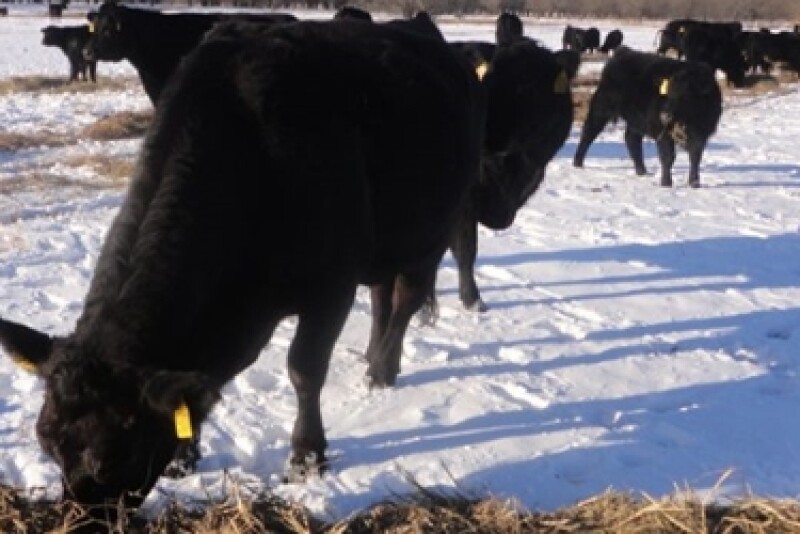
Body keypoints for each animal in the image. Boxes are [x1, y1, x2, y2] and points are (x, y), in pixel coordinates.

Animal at [0, 17, 483, 520]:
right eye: (47, 443)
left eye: (113, 457)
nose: (78, 523)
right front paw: (185, 456)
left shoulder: (330, 288)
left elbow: (304, 370)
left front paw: (306, 458)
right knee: (381, 294)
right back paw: (372, 357)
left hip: (433, 226)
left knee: (407, 298)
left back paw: (383, 370)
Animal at [573, 47, 722, 188]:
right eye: (668, 93)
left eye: (686, 95)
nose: (664, 115)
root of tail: (623, 52)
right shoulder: (663, 133)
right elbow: (668, 157)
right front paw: (666, 183)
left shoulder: (701, 134)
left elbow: (695, 157)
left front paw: (694, 183)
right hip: (601, 107)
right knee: (588, 132)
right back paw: (577, 163)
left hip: (635, 120)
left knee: (631, 139)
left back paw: (641, 171)